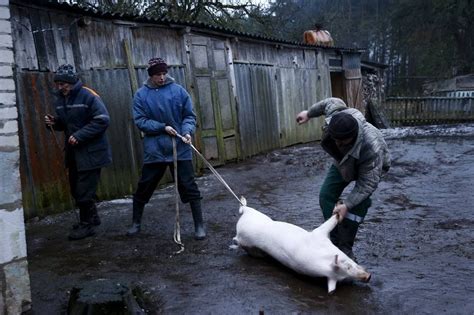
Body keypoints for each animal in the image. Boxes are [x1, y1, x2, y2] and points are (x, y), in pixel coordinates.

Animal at [232, 198, 370, 294]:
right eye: (347, 268)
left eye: (343, 278)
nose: (368, 277)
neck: (323, 253)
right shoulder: (317, 234)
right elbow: (329, 222)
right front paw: (338, 209)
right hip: (252, 223)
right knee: (244, 209)